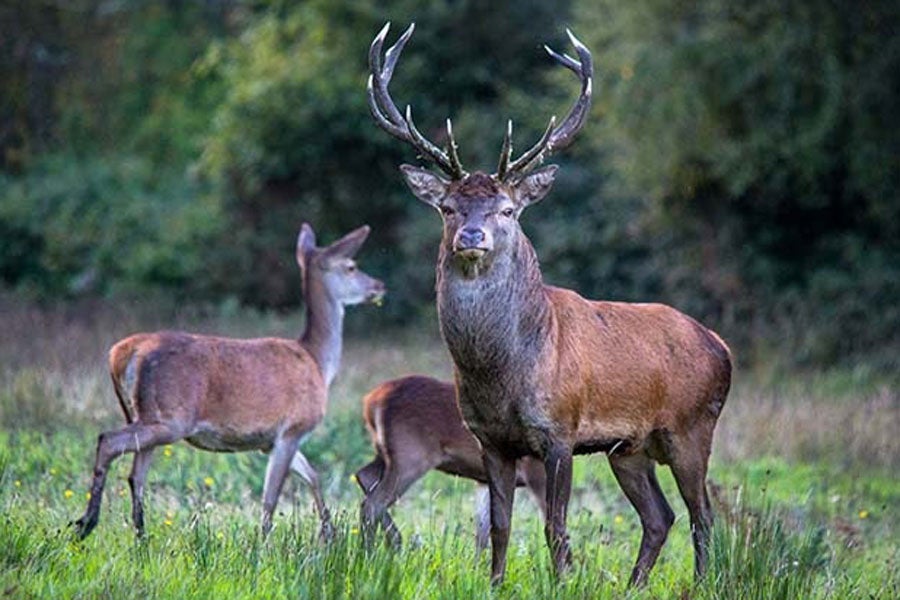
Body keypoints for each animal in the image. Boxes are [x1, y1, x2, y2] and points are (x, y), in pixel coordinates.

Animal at [73, 224, 386, 540]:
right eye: (351, 266)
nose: (379, 285)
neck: (318, 363)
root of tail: (122, 353)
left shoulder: (269, 442)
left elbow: (312, 475)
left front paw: (329, 534)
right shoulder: (293, 428)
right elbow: (271, 497)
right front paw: (265, 542)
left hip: (142, 414)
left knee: (136, 474)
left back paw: (139, 536)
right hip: (170, 417)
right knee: (109, 441)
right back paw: (87, 522)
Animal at [356, 376, 544, 548]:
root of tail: (370, 402)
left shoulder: (484, 480)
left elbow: (483, 534)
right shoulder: (534, 470)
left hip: (388, 454)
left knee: (365, 476)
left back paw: (393, 543)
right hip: (410, 455)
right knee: (372, 503)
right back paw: (371, 554)